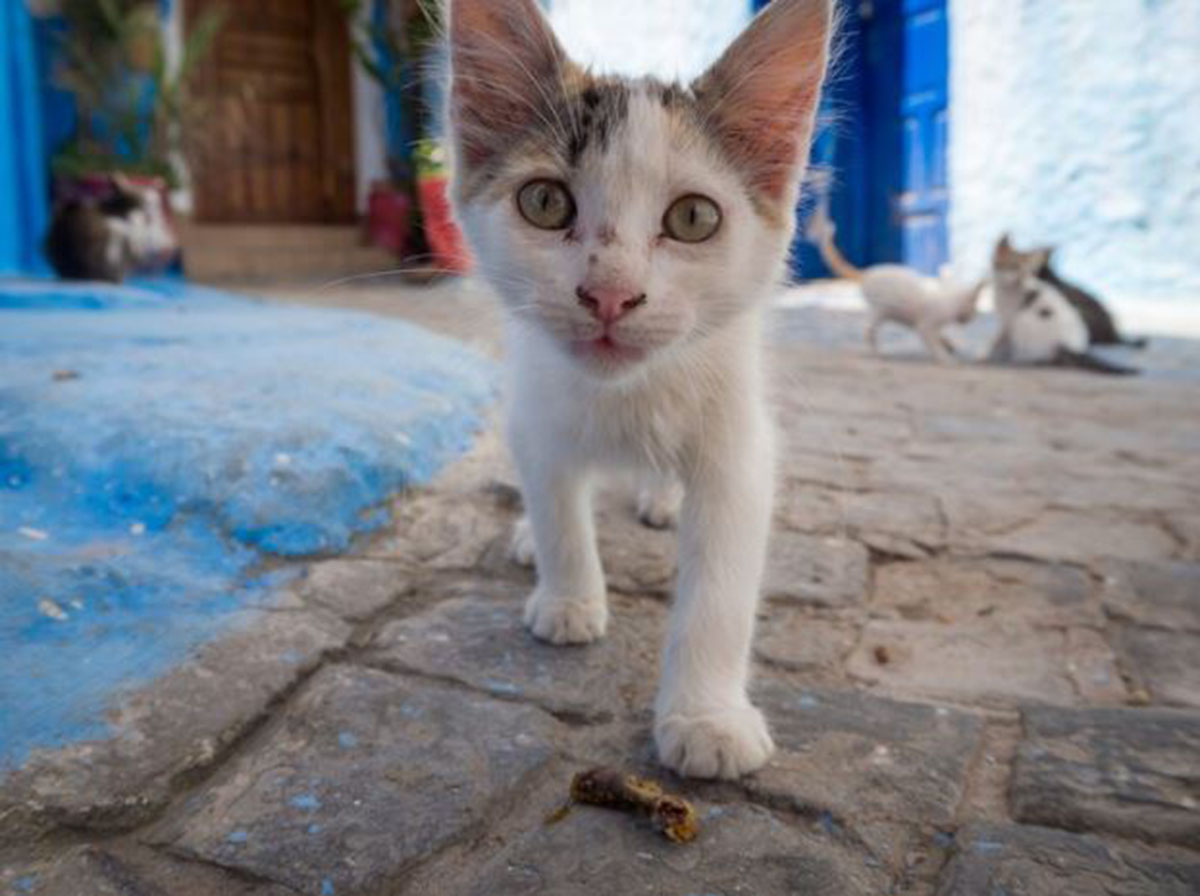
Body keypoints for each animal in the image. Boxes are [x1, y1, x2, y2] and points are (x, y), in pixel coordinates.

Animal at [446, 0, 830, 777]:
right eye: (544, 202)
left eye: (694, 218)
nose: (610, 296)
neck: (629, 396)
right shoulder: (534, 411)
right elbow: (559, 506)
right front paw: (567, 595)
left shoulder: (740, 445)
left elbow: (721, 588)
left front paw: (706, 718)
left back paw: (660, 498)